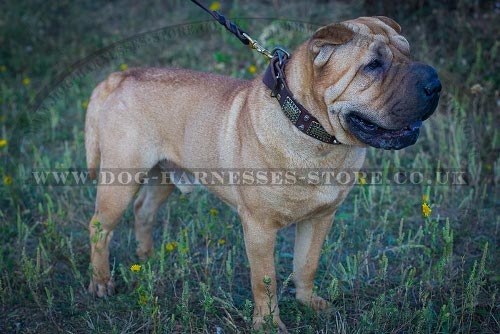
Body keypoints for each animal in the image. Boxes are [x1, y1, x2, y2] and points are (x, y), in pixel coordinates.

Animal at [85, 16, 442, 332]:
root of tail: (120, 77)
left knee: (143, 210)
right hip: (121, 181)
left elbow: (307, 264)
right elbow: (264, 280)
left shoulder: (321, 218)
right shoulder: (259, 227)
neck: (313, 135)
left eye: (408, 51)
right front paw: (268, 323)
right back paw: (102, 282)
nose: (435, 83)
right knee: (99, 228)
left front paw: (308, 301)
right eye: (373, 65)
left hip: (165, 176)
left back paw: (146, 257)